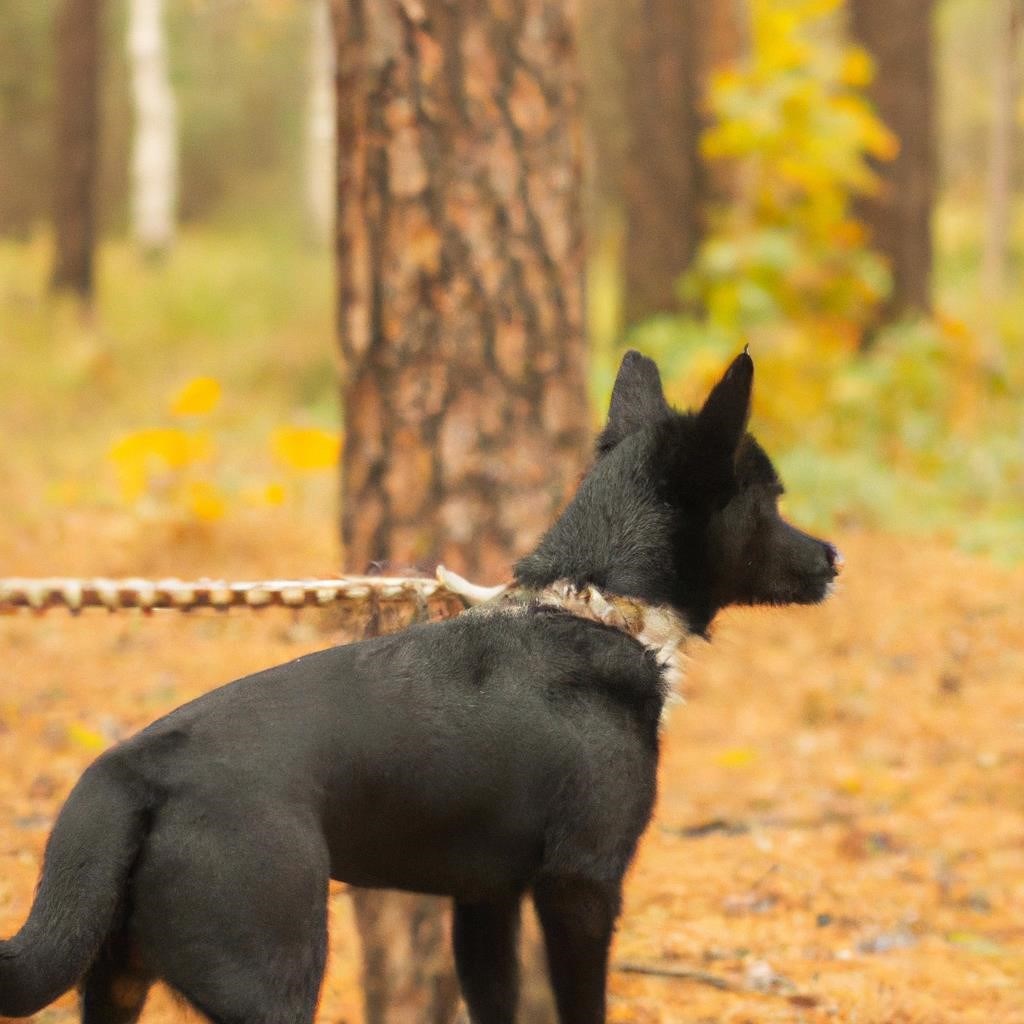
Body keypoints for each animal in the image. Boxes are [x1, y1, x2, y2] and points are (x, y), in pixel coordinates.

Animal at [0, 352, 839, 1024]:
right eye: (769, 501)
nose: (835, 559)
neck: (591, 610)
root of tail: (131, 771)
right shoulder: (582, 883)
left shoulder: (485, 901)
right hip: (269, 975)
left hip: (117, 981)